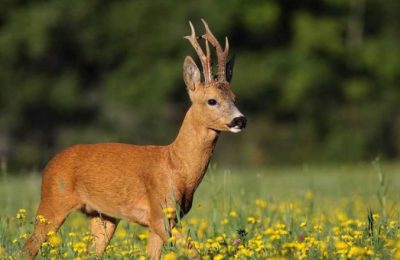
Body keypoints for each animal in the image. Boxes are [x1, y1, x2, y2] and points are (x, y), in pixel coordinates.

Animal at [24, 19, 247, 258]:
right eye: (212, 100)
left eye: (235, 98)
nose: (240, 120)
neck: (176, 166)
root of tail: (49, 164)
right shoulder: (159, 213)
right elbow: (193, 252)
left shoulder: (164, 219)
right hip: (53, 201)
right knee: (28, 247)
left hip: (103, 216)